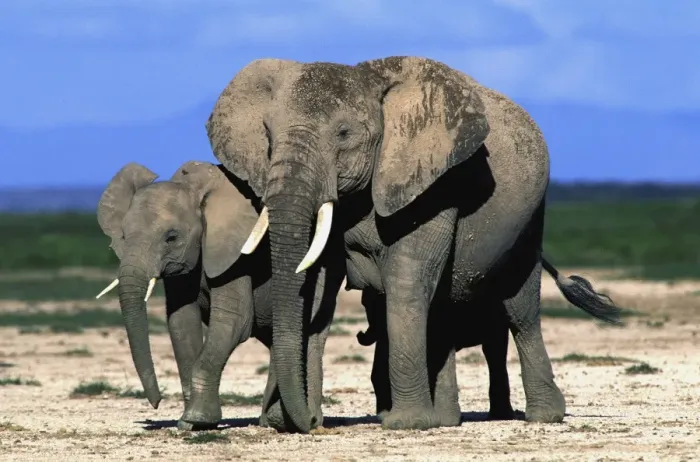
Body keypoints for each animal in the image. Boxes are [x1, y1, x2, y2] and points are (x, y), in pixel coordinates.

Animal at [95, 160, 344, 431]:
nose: (157, 403)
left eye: (171, 237)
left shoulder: (234, 256)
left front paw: (197, 419)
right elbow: (181, 322)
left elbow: (234, 321)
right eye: (123, 236)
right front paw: (188, 422)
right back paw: (270, 421)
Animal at [204, 55, 621, 432]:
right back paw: (447, 420)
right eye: (268, 137)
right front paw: (292, 421)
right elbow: (317, 282)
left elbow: (407, 279)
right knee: (441, 311)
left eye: (343, 134)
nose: (309, 422)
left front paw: (406, 424)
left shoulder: (433, 182)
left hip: (530, 219)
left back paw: (541, 416)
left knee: (520, 310)